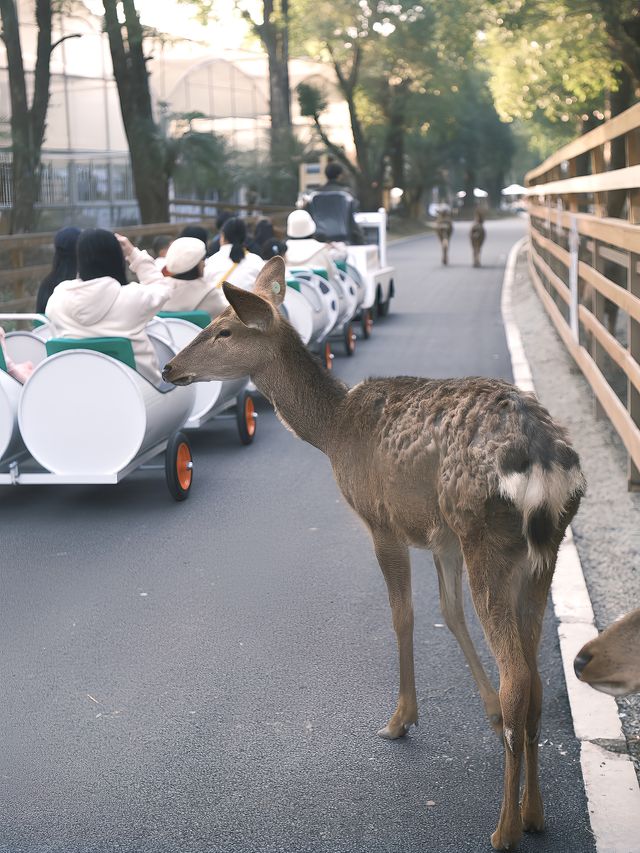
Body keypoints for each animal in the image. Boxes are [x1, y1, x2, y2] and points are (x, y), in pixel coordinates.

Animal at [164, 258, 584, 852]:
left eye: (223, 329)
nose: (169, 368)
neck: (333, 430)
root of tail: (546, 464)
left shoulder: (382, 520)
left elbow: (403, 615)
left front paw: (400, 719)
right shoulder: (441, 534)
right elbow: (448, 613)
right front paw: (476, 711)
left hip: (488, 538)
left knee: (519, 679)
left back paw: (503, 829)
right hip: (540, 555)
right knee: (536, 680)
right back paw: (535, 813)